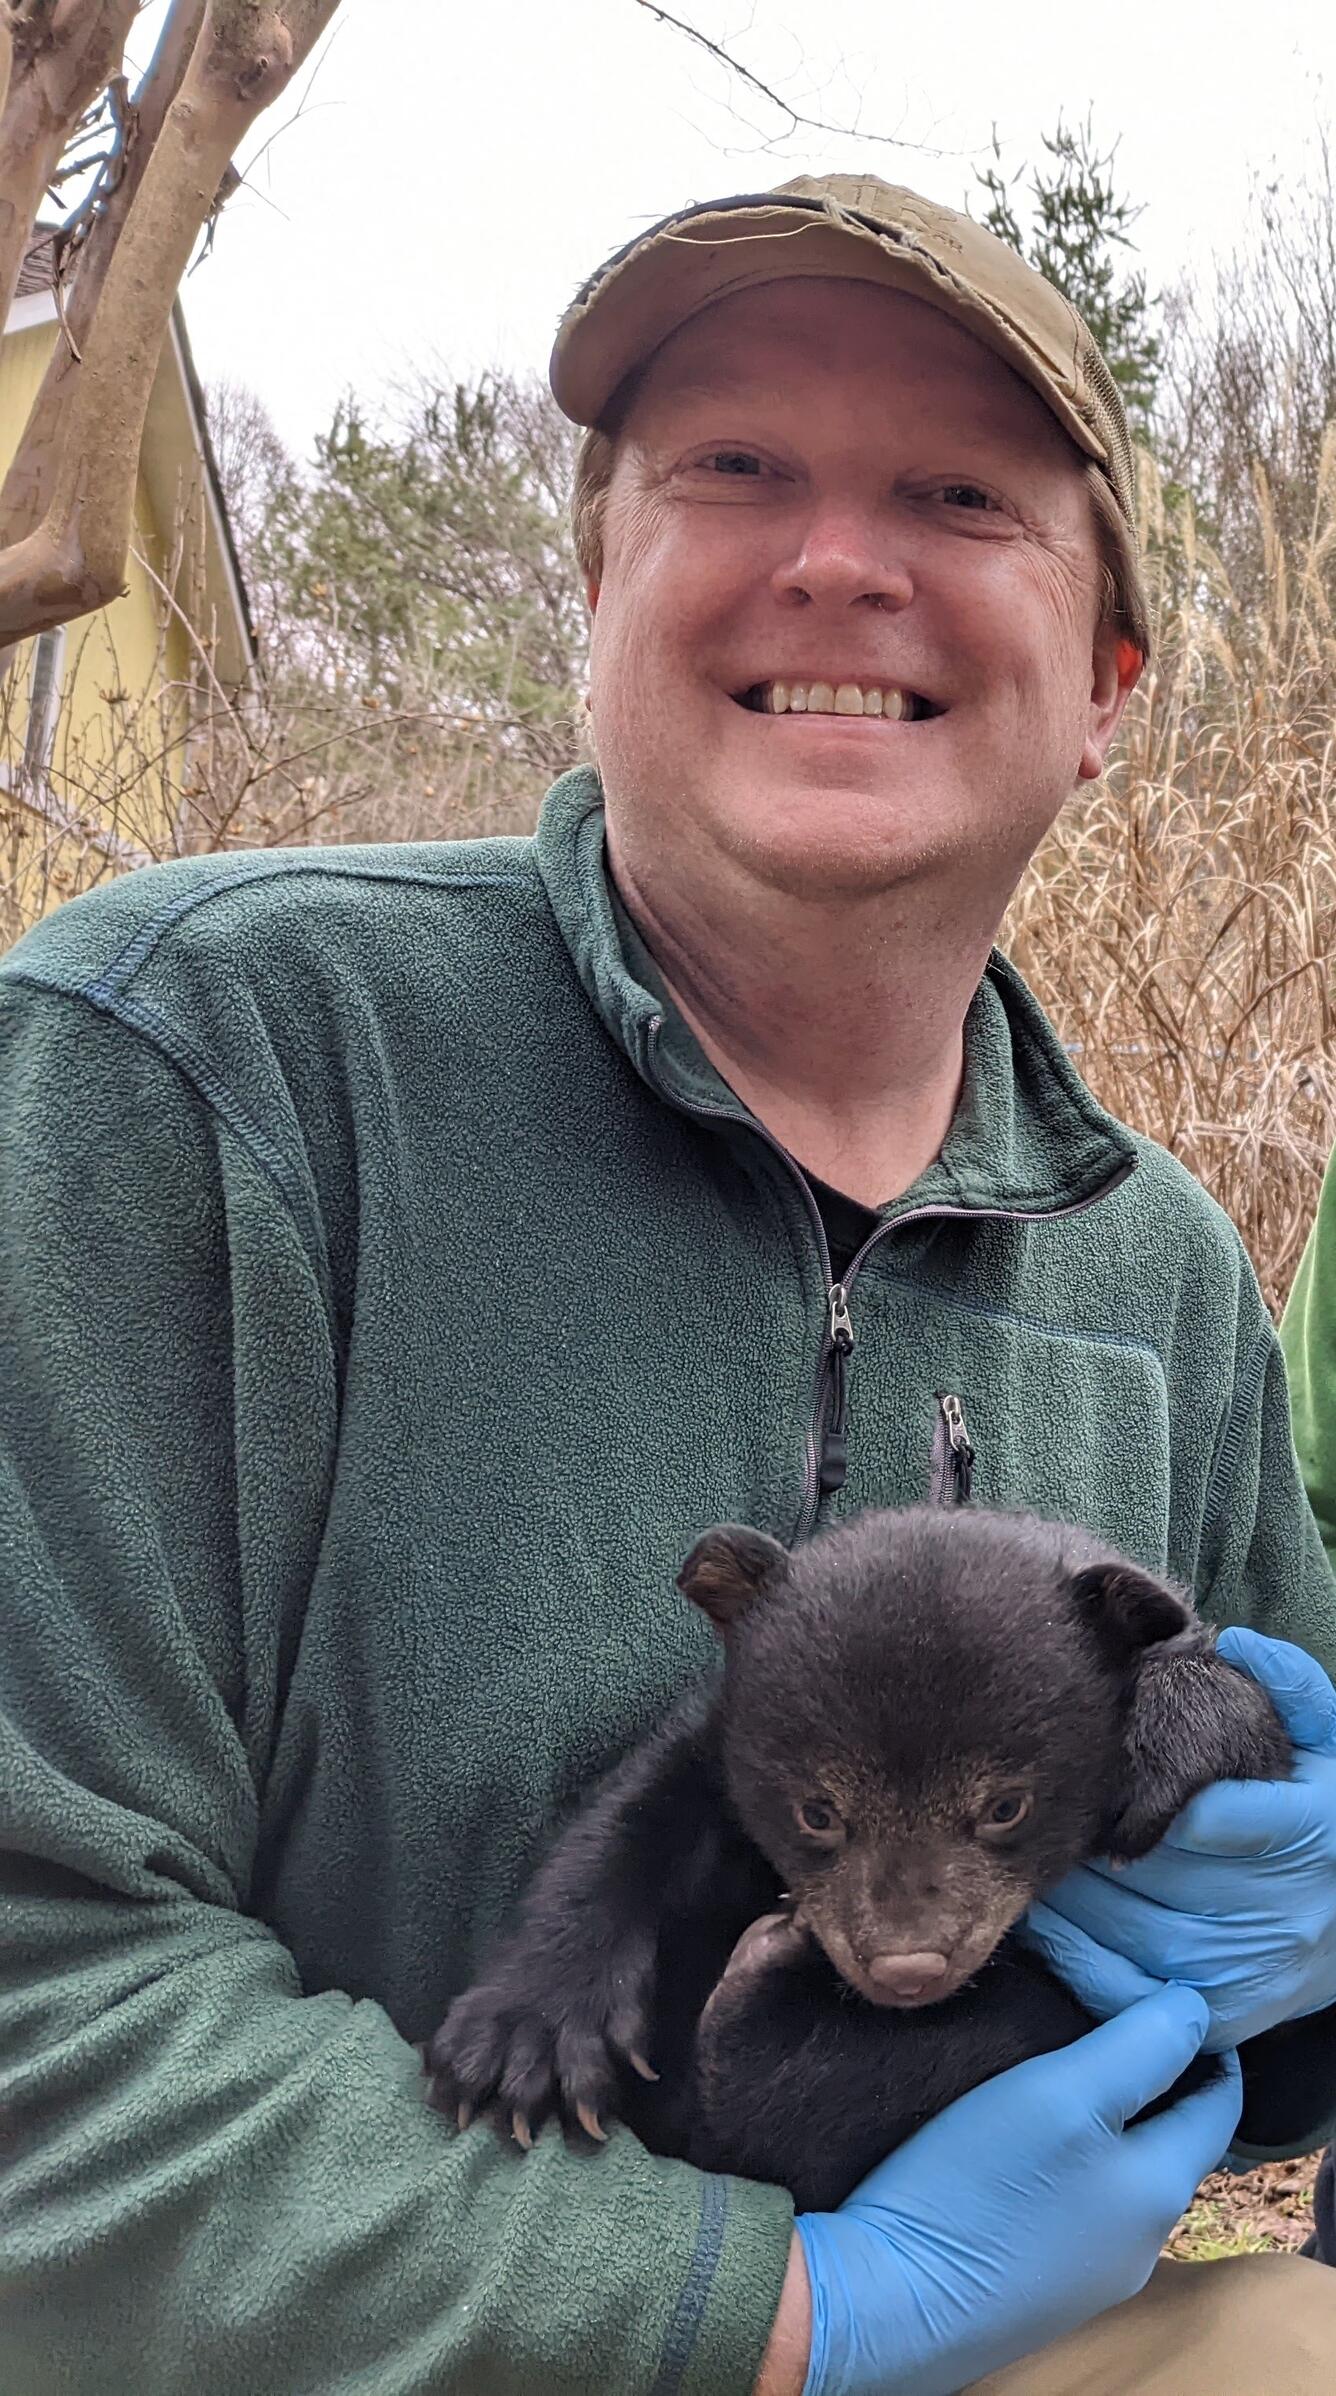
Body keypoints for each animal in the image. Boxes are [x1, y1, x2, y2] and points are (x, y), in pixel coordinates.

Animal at [425, 1505, 1290, 2212]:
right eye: (817, 1811)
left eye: (1006, 1807)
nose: (908, 1969)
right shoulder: (715, 1738)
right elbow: (636, 1807)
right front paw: (525, 2039)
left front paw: (1176, 1727)